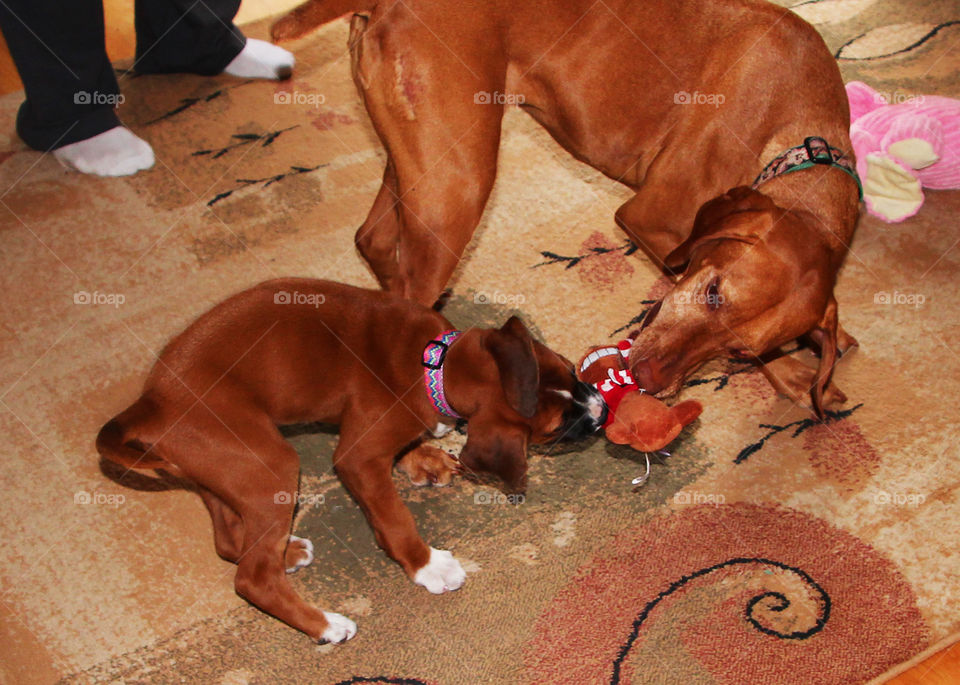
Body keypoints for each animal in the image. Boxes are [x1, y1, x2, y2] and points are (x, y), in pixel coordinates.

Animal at [99, 276, 608, 640]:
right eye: (558, 427)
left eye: (571, 369)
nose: (603, 411)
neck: (435, 362)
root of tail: (152, 403)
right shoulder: (357, 459)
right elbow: (395, 519)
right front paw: (426, 565)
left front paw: (422, 456)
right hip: (271, 465)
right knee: (252, 578)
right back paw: (324, 624)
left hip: (226, 473)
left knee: (229, 542)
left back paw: (288, 552)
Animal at [272, 0, 864, 414]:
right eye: (714, 292)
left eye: (740, 353)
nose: (650, 380)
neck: (801, 140)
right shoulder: (653, 219)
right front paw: (797, 377)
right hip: (459, 184)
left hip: (425, 165)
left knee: (374, 242)